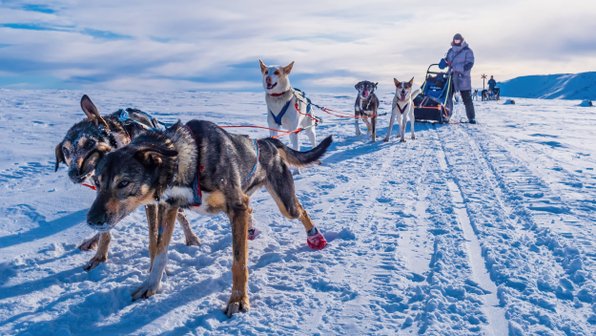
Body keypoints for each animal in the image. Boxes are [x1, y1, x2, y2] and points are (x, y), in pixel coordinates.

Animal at [56, 94, 200, 270]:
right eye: (66, 150)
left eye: (89, 143)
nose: (74, 173)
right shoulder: (103, 195)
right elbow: (105, 229)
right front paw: (99, 256)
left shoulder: (152, 201)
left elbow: (154, 237)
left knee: (180, 214)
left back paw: (191, 237)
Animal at [86, 121, 332, 318]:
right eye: (97, 182)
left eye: (124, 182)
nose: (92, 220)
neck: (189, 159)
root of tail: (267, 142)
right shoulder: (169, 207)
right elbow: (160, 250)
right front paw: (151, 284)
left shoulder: (236, 206)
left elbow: (239, 262)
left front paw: (238, 300)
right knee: (252, 209)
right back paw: (252, 230)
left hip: (284, 204)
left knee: (300, 210)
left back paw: (314, 236)